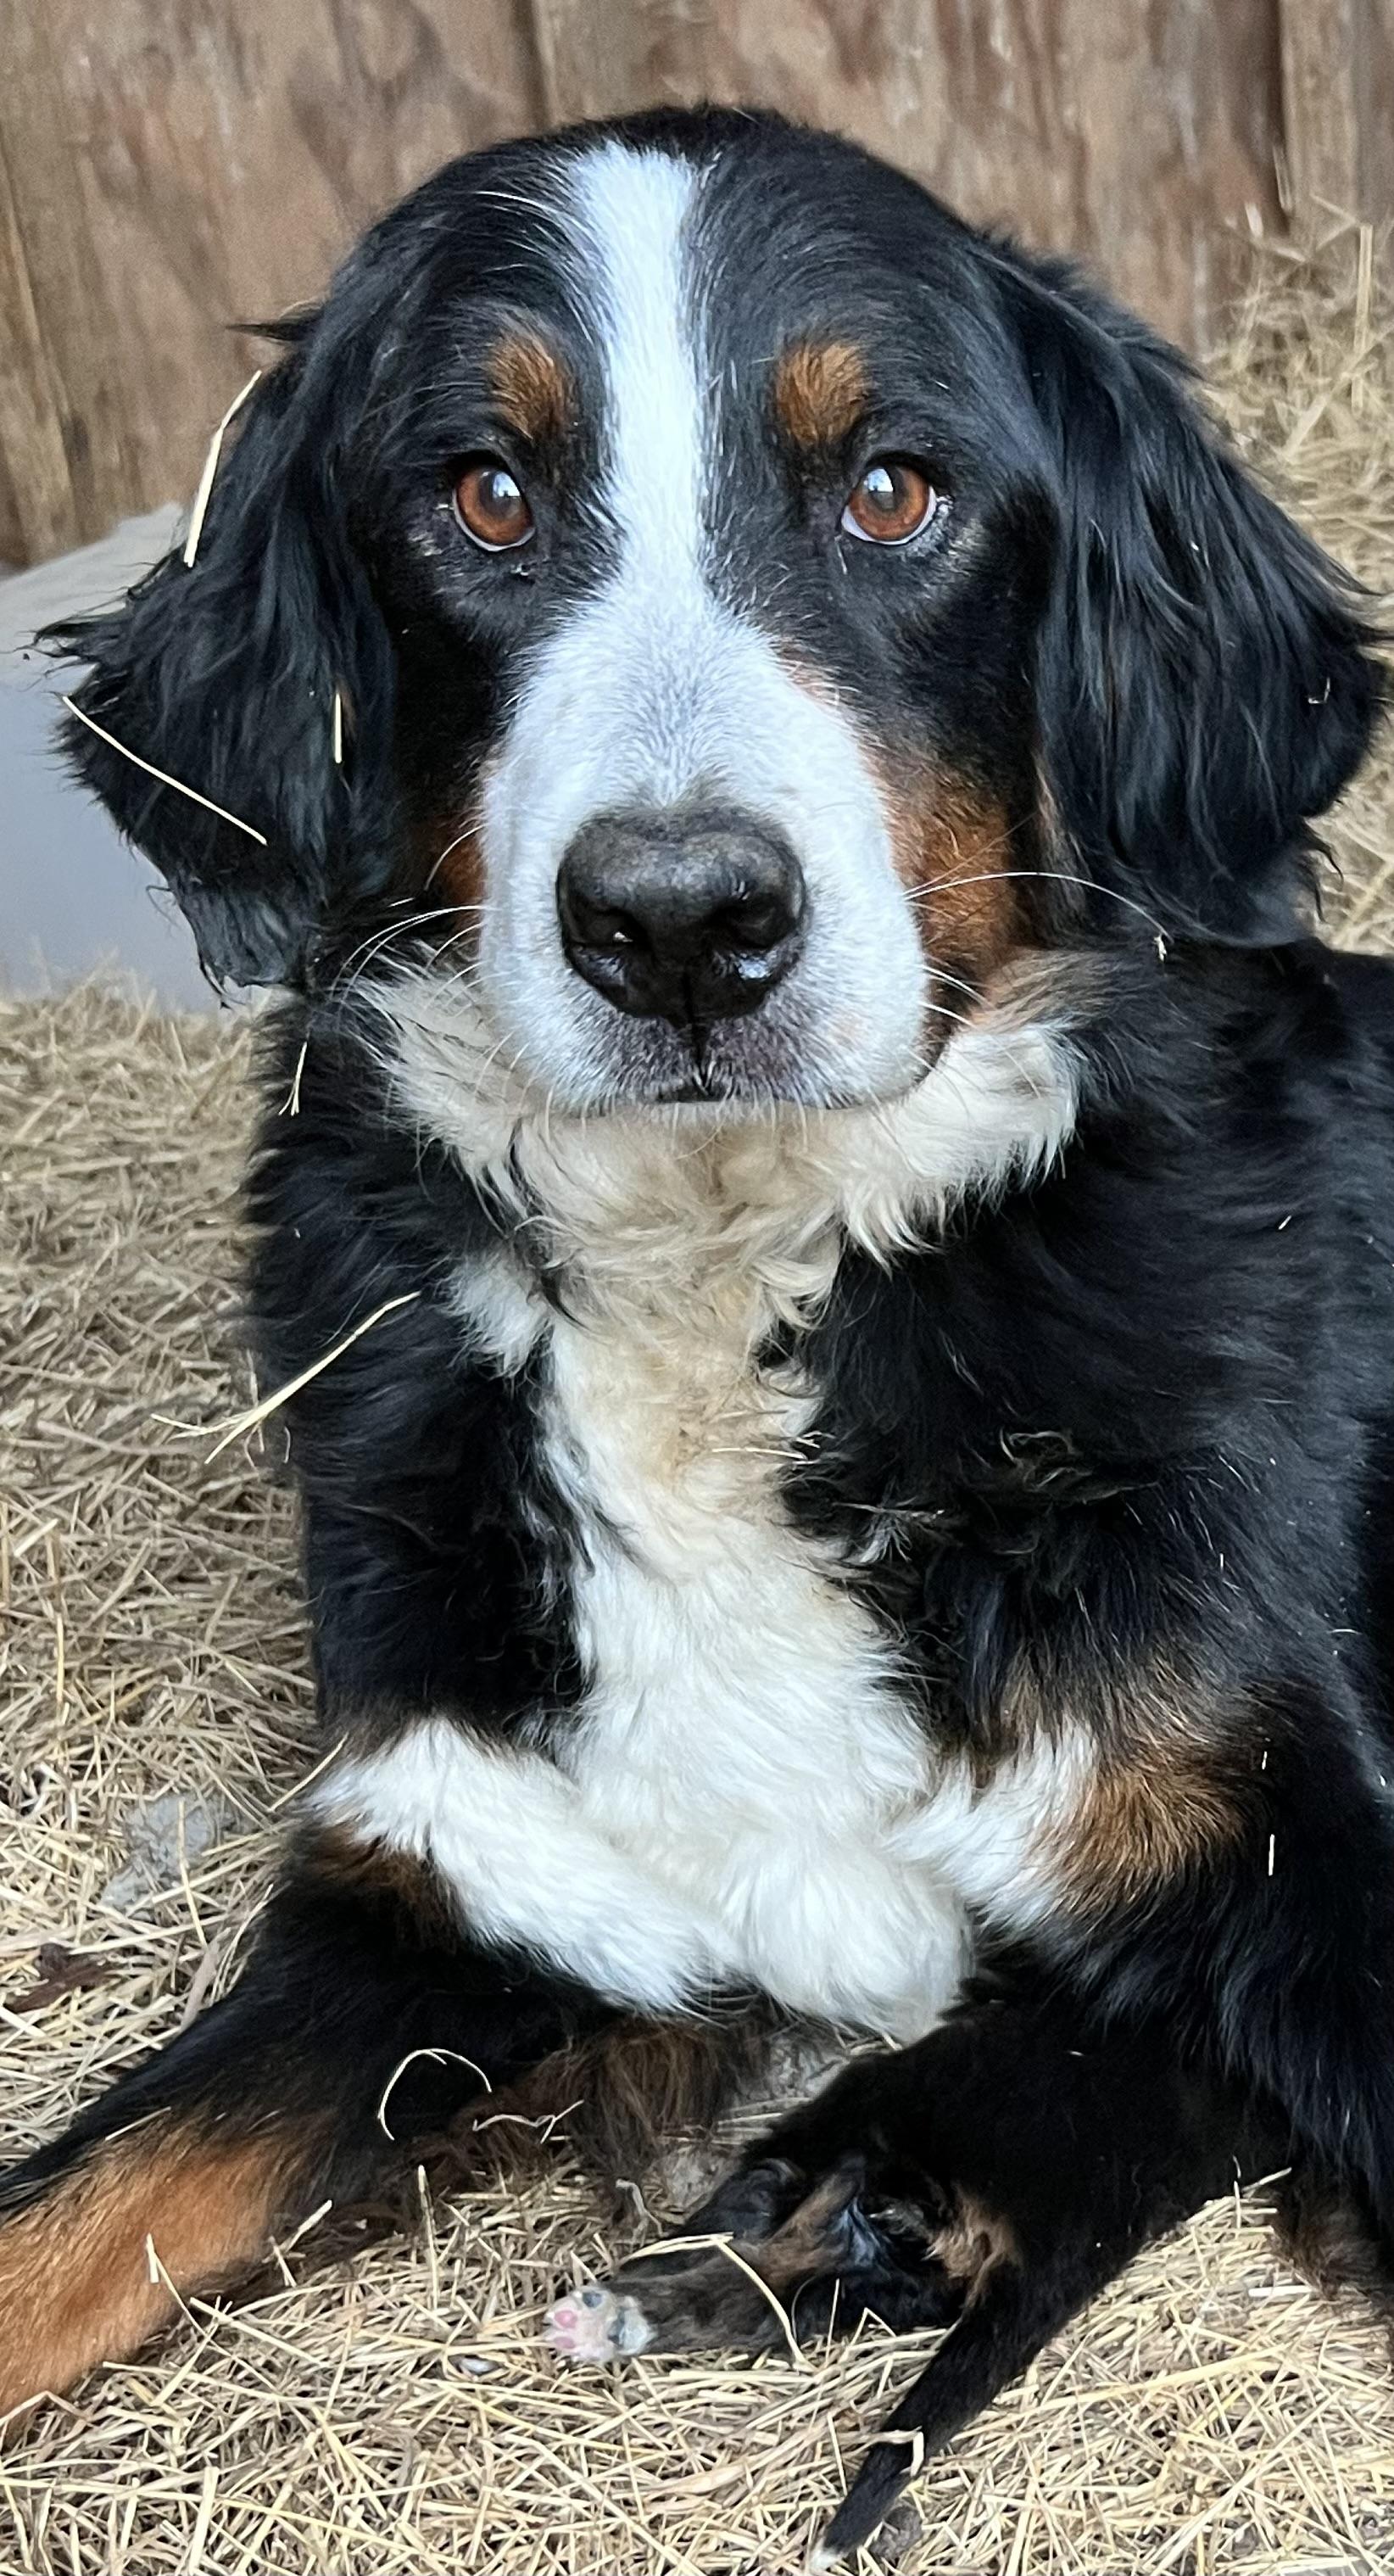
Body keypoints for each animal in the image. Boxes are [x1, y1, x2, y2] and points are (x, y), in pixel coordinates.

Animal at [4, 98, 1392, 2547]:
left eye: (892, 490)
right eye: (479, 491)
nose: (677, 923)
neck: (734, 1279)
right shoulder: (445, 1881)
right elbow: (63, 2203)